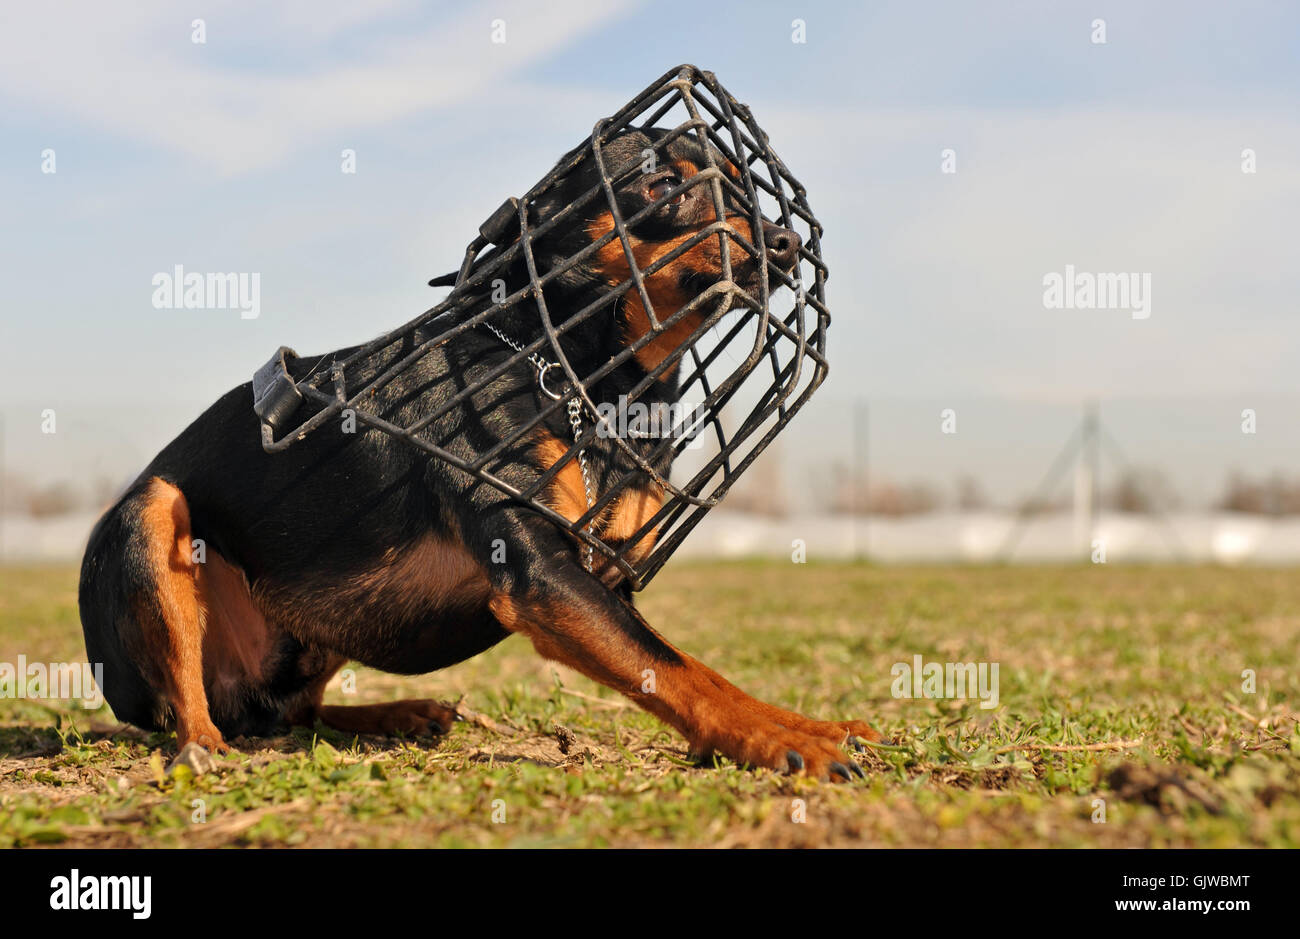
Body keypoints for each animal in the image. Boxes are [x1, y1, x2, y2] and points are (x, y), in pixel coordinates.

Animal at [81, 128, 883, 780]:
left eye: (747, 192)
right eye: (663, 188)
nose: (783, 243)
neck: (578, 370)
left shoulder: (600, 579)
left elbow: (664, 661)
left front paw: (795, 724)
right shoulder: (543, 576)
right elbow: (680, 666)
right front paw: (784, 734)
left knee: (289, 712)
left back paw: (396, 715)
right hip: (152, 514)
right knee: (195, 705)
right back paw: (205, 750)